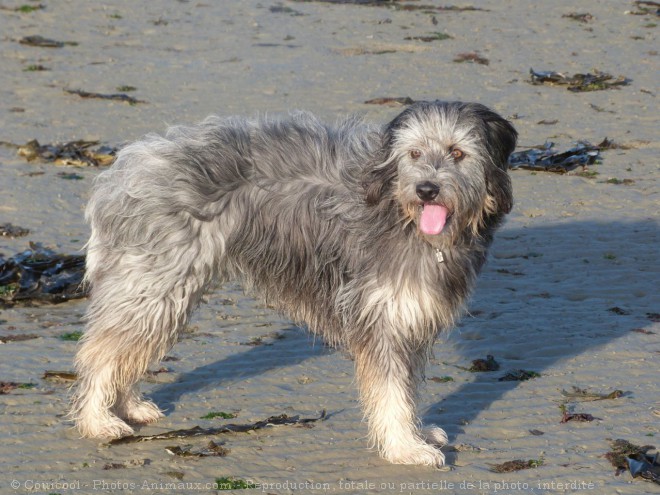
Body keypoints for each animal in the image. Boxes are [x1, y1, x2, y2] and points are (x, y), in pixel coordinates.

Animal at [71, 101, 516, 468]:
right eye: (415, 154)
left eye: (457, 153)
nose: (427, 189)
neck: (399, 213)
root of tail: (123, 169)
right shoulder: (382, 318)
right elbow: (392, 393)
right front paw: (405, 448)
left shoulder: (411, 319)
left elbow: (406, 389)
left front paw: (417, 433)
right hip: (153, 283)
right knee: (102, 353)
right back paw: (97, 420)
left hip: (160, 291)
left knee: (126, 349)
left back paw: (127, 405)